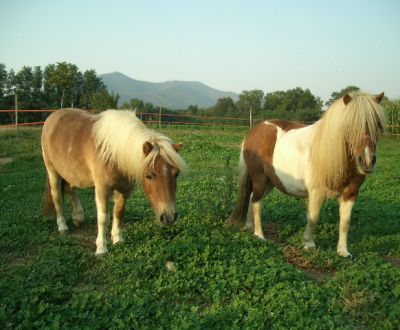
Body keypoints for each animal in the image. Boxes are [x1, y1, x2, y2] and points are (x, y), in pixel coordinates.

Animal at [41, 108, 187, 255]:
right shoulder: (102, 189)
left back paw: (78, 217)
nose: (169, 217)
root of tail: (54, 115)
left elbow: (119, 213)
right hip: (52, 170)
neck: (114, 154)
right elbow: (103, 218)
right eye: (148, 175)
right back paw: (62, 226)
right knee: (57, 196)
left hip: (71, 171)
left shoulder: (124, 190)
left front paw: (117, 239)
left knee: (71, 188)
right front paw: (101, 248)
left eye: (176, 173)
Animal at [227, 91, 386, 256]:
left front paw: (343, 251)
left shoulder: (350, 194)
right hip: (260, 179)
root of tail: (253, 132)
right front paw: (309, 244)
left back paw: (249, 227)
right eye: (349, 125)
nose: (367, 161)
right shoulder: (317, 192)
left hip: (271, 181)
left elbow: (345, 223)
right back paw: (259, 235)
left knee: (252, 198)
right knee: (257, 203)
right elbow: (313, 217)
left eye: (378, 124)